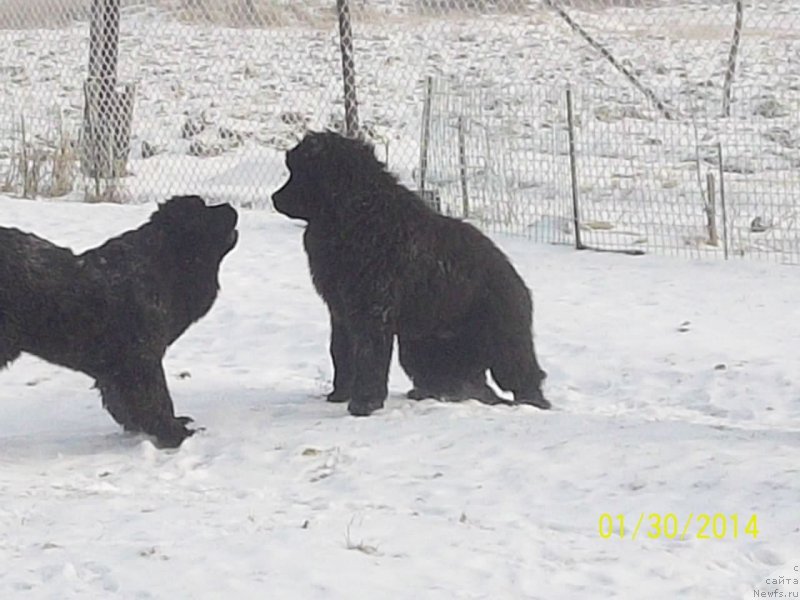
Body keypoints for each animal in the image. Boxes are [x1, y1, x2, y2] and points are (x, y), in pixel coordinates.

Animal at [0, 195, 238, 448]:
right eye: (202, 211)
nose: (229, 206)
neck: (162, 267)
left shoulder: (115, 372)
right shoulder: (142, 359)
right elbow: (156, 399)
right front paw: (175, 434)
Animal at [272, 130, 548, 418]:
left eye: (301, 172)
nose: (274, 199)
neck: (356, 214)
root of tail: (519, 284)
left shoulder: (373, 312)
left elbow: (369, 357)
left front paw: (363, 404)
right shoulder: (341, 312)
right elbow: (341, 353)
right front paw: (340, 395)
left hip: (503, 341)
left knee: (523, 375)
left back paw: (532, 404)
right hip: (418, 346)